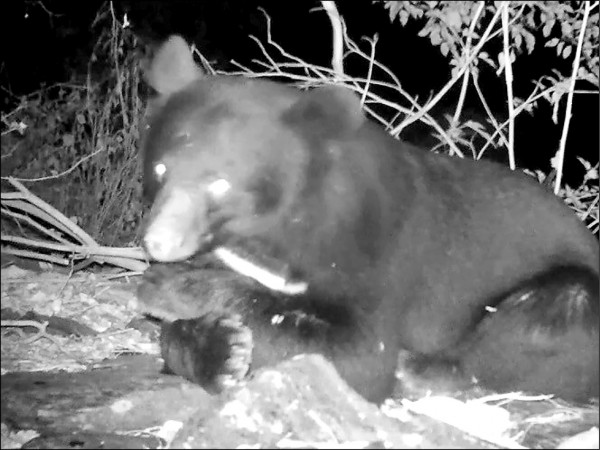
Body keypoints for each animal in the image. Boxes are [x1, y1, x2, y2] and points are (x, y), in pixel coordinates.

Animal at [134, 34, 596, 400]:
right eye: (159, 170)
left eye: (220, 183)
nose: (158, 243)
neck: (273, 233)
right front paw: (218, 349)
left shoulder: (374, 249)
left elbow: (359, 352)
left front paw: (171, 289)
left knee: (549, 315)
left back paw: (421, 371)